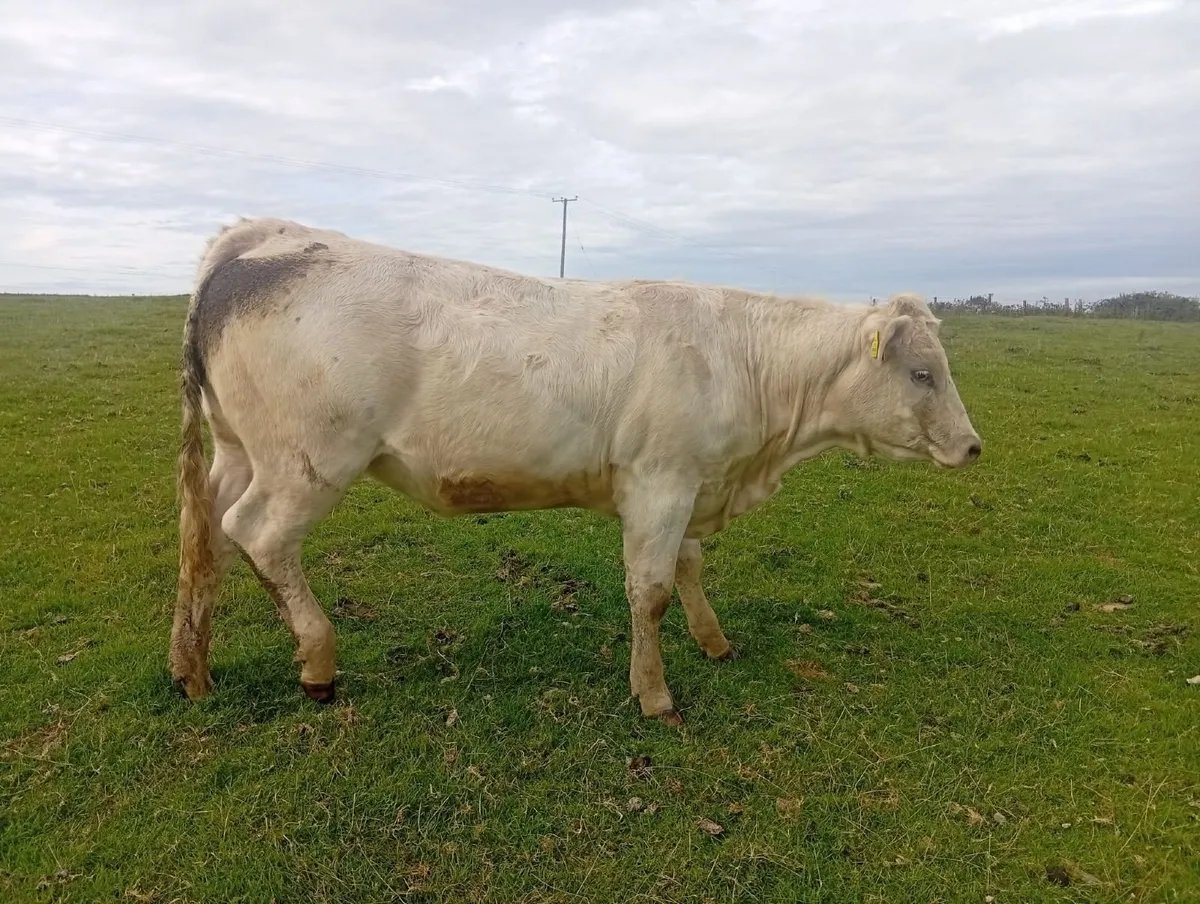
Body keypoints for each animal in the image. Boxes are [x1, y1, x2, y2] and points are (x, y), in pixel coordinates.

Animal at [169, 217, 981, 725]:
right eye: (921, 373)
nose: (973, 447)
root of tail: (268, 234)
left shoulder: (687, 479)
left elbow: (688, 565)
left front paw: (714, 641)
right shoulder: (661, 480)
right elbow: (651, 590)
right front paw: (655, 695)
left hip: (239, 451)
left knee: (205, 538)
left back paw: (190, 670)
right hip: (308, 462)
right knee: (259, 535)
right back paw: (317, 664)